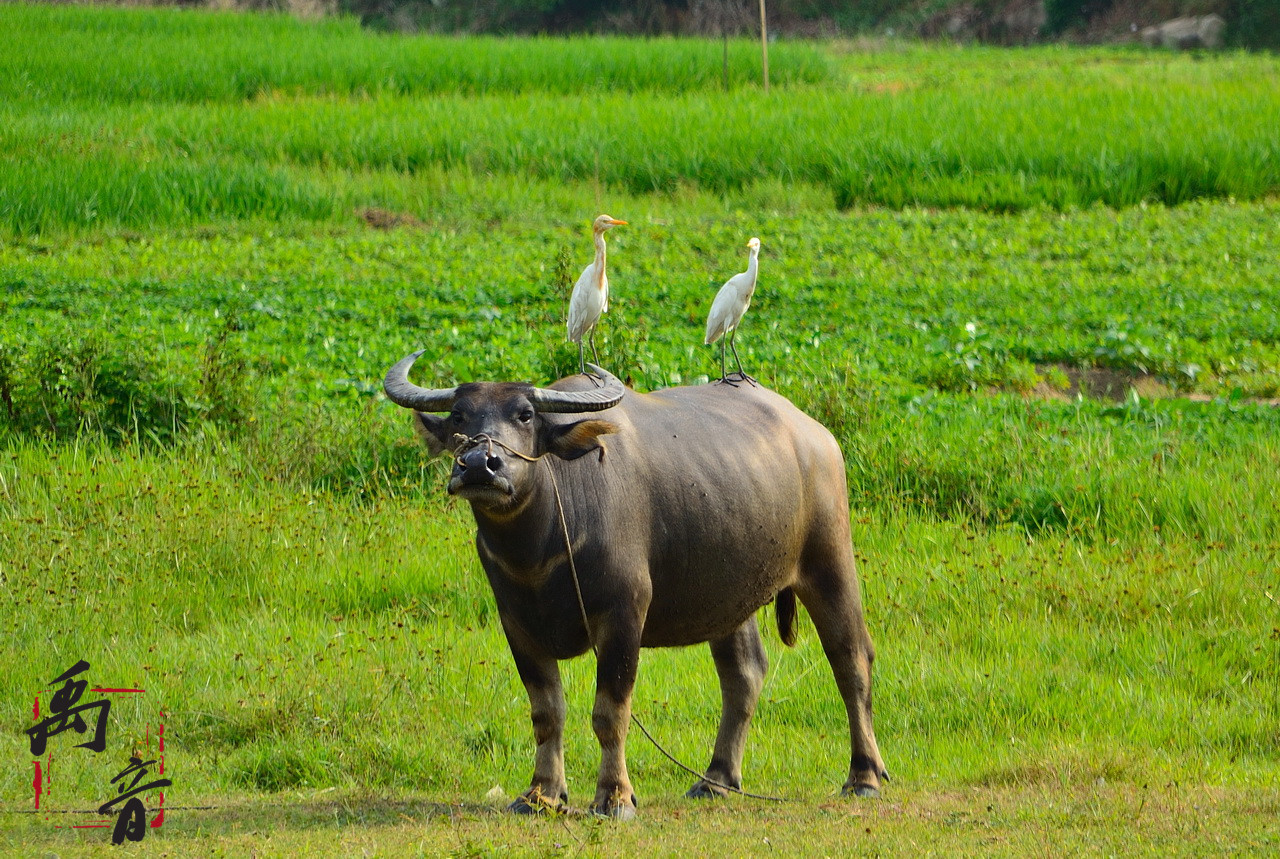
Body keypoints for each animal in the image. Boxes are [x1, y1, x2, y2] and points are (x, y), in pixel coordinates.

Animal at [384, 353, 885, 819]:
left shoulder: (624, 615)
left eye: (525, 414)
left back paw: (864, 776)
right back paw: (716, 778)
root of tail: (817, 435)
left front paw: (614, 797)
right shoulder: (517, 624)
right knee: (744, 674)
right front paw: (541, 794)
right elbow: (546, 713)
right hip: (729, 595)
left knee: (851, 659)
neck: (539, 548)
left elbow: (611, 712)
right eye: (459, 416)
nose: (479, 465)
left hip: (829, 561)